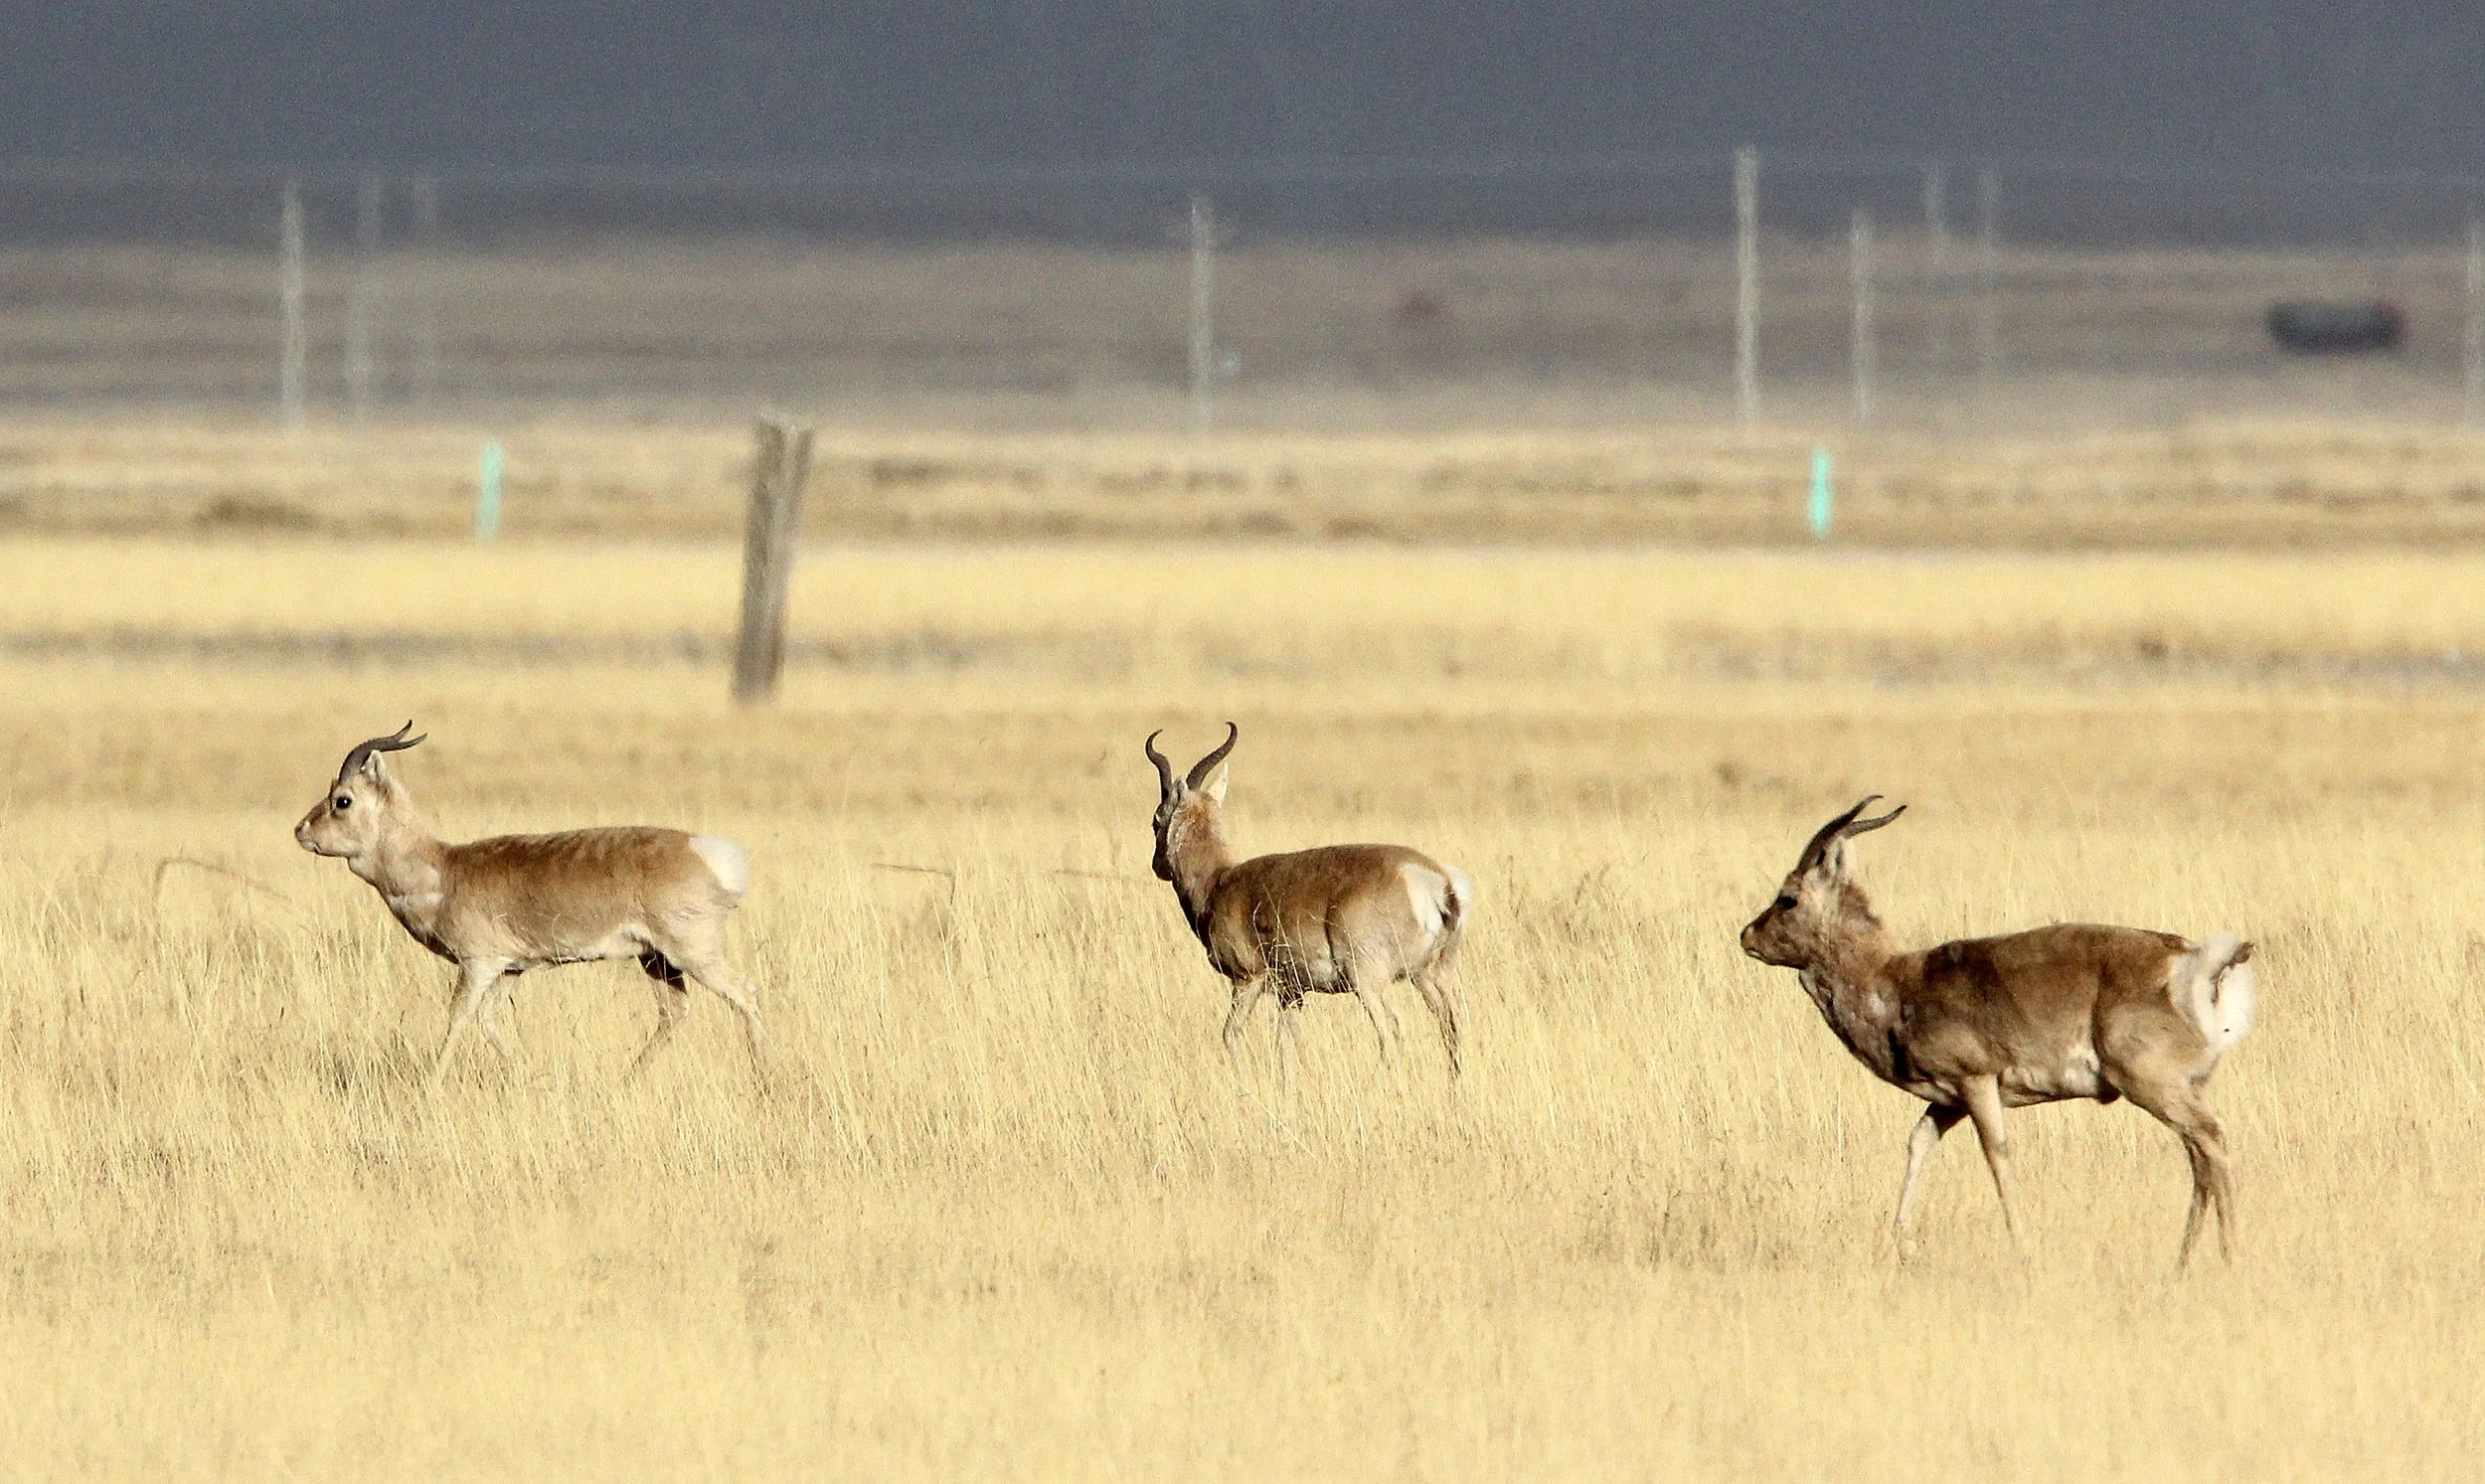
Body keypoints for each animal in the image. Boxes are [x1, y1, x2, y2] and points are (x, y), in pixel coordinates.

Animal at [294, 723, 765, 1088]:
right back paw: (626, 1081)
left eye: (342, 799)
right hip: (656, 960)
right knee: (674, 1013)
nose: (300, 830)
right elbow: (490, 1022)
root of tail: (708, 850)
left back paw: (763, 1078)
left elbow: (459, 1017)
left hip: (691, 954)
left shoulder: (478, 965)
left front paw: (429, 1087)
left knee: (746, 994)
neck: (446, 867)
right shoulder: (511, 969)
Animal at [1147, 723, 1470, 1095]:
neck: (1221, 881)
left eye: (1157, 818)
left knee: (1391, 1026)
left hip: (1370, 983)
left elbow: (1231, 1034)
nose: (1157, 866)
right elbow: (1286, 1041)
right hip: (1430, 976)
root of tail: (1436, 881)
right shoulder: (1292, 994)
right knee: (1451, 1024)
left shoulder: (1247, 980)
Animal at [1739, 798, 2257, 1265]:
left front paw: (2022, 1246)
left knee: (2212, 1139)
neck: (1898, 982)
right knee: (2198, 1157)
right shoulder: (1947, 1099)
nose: (1746, 936)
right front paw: (1902, 1241)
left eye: (1789, 897)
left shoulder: (1977, 1081)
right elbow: (1918, 1141)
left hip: (2152, 1086)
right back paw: (2183, 1259)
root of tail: (2193, 959)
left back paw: (2230, 1255)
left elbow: (1997, 1153)